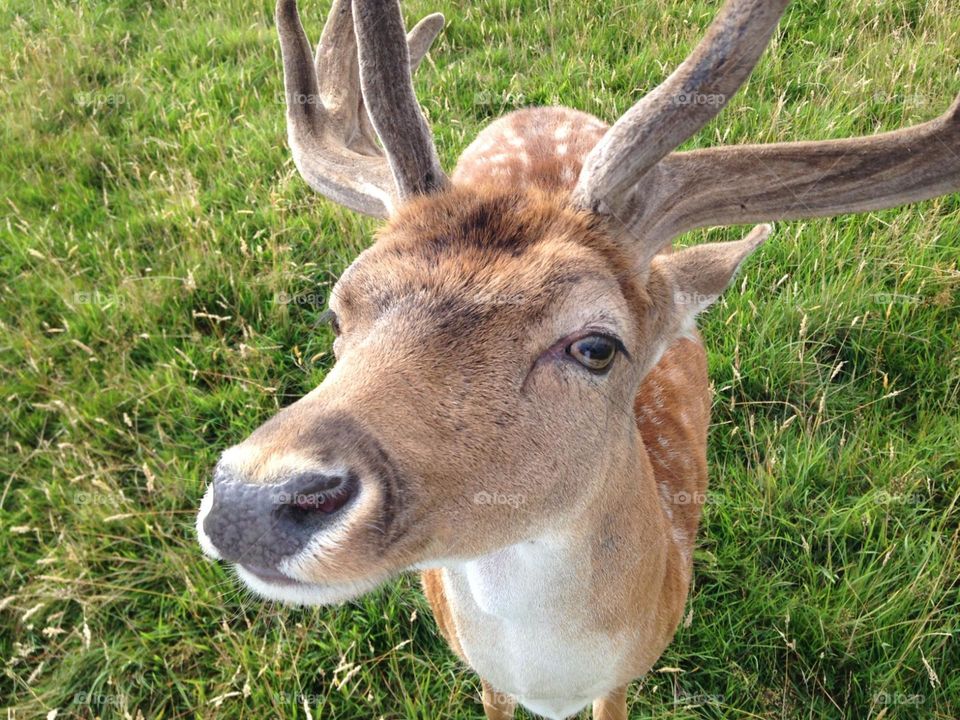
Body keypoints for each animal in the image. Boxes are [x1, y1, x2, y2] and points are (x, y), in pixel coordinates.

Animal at [195, 0, 960, 717]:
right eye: (338, 310)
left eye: (596, 346)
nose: (251, 500)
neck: (551, 679)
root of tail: (537, 109)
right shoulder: (480, 670)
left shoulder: (626, 673)